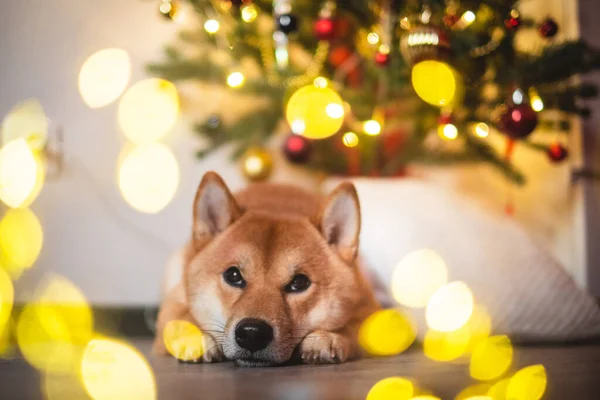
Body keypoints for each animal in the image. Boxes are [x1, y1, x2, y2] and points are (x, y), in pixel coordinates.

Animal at [155, 172, 380, 366]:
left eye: (299, 282)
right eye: (233, 275)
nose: (252, 333)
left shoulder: (370, 311)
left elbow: (353, 327)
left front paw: (329, 337)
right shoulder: (173, 304)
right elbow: (180, 319)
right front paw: (198, 336)